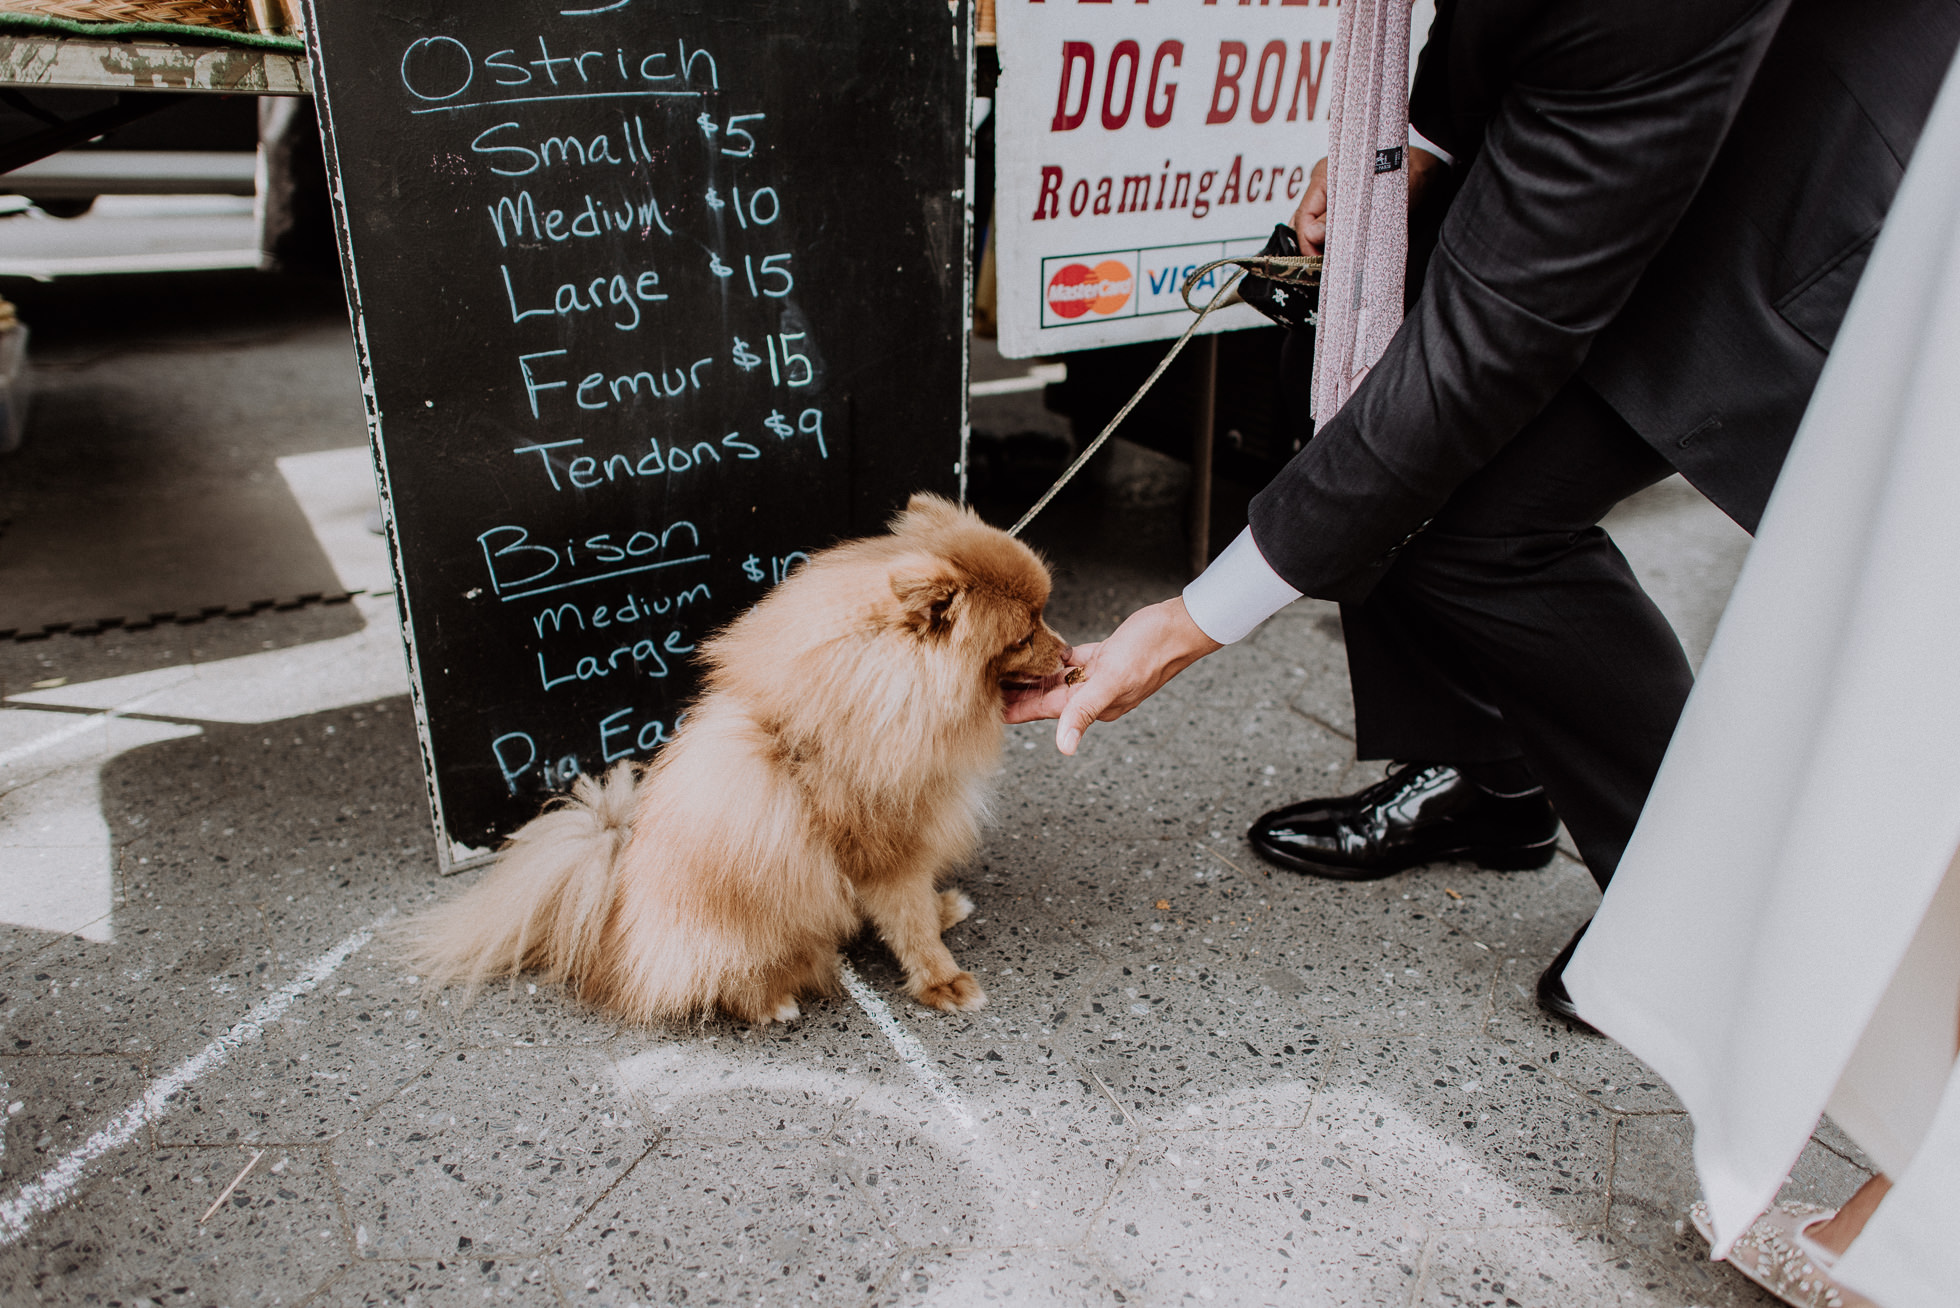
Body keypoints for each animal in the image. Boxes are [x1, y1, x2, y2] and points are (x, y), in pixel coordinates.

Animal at [403, 496, 1066, 1027]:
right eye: (1023, 635)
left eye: (1043, 615)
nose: (1067, 655)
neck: (889, 699)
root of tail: (613, 925)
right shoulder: (883, 850)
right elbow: (910, 922)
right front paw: (941, 979)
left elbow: (919, 906)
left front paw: (941, 909)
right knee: (713, 980)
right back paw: (770, 1000)